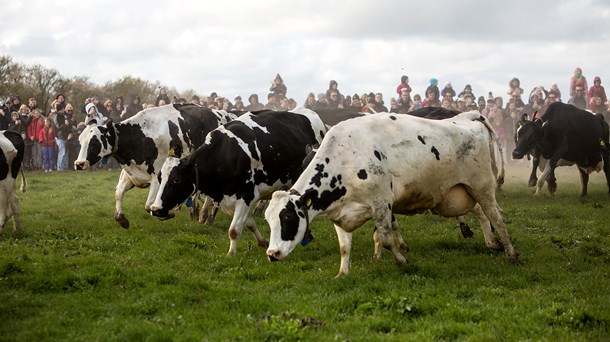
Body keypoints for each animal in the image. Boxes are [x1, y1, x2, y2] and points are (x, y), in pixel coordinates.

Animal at [71, 103, 233, 227]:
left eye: (94, 142)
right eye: (80, 140)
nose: (79, 164)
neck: (139, 137)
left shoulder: (158, 176)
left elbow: (149, 204)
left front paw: (165, 214)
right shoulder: (131, 174)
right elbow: (118, 193)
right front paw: (121, 219)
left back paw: (205, 216)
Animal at [149, 108, 326, 255]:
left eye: (176, 180)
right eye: (160, 178)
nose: (155, 209)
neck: (226, 153)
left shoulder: (246, 195)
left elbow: (234, 229)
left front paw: (230, 254)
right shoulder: (242, 199)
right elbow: (249, 224)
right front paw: (262, 242)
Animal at [264, 111, 516, 276]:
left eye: (287, 217)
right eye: (269, 221)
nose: (272, 253)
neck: (343, 158)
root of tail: (467, 116)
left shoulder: (382, 203)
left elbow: (385, 238)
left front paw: (402, 260)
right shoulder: (340, 213)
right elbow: (345, 247)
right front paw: (342, 274)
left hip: (482, 187)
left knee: (497, 217)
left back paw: (510, 253)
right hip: (460, 194)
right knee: (483, 213)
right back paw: (492, 242)